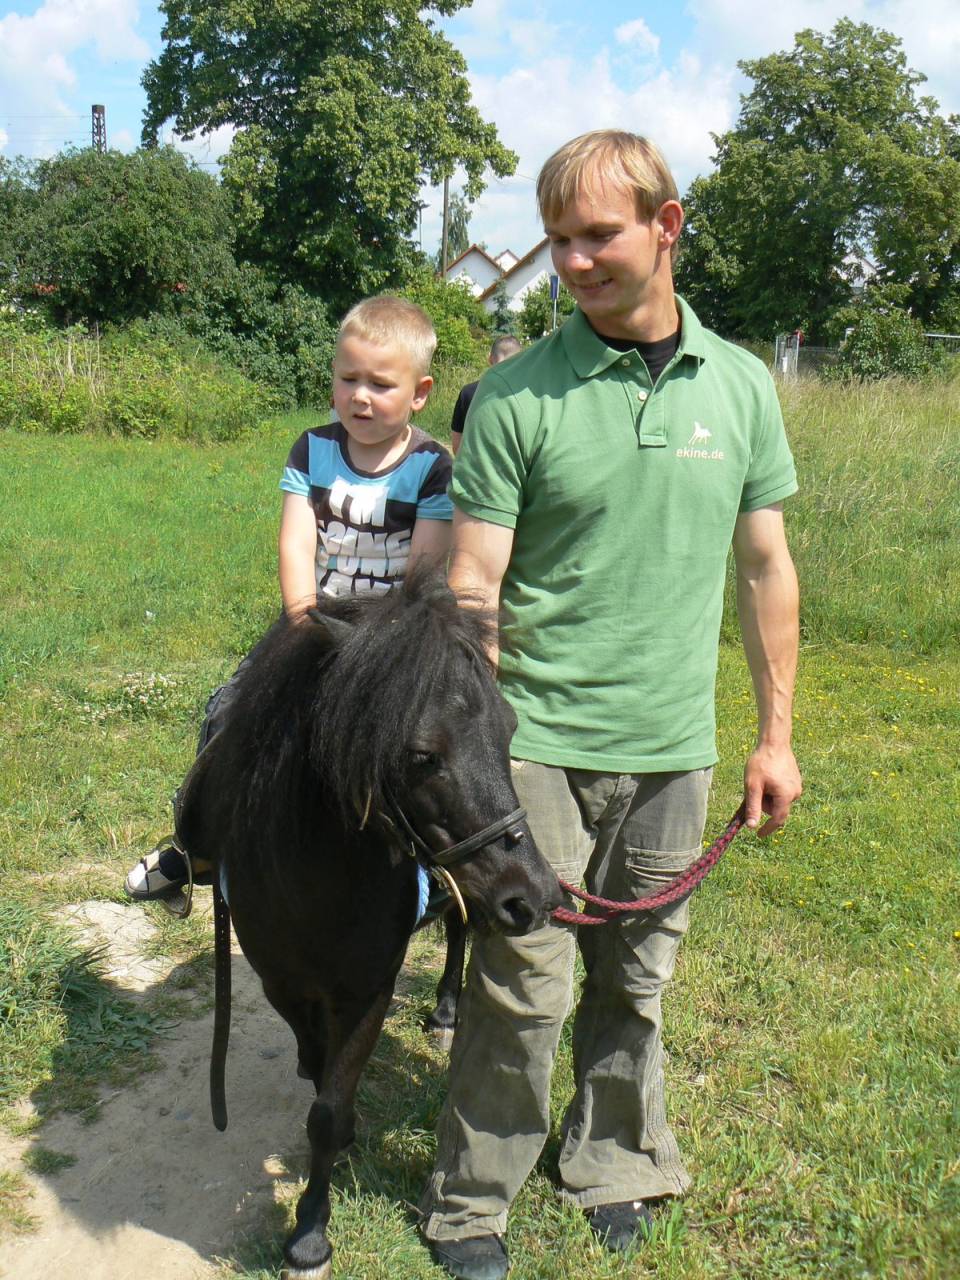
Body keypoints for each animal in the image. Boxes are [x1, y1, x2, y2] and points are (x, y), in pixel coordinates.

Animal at [176, 573, 560, 1280]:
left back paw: (446, 1012)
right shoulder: (280, 981)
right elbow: (314, 1059)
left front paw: (309, 1236)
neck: (315, 879)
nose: (535, 896)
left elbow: (327, 1112)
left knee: (461, 932)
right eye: (422, 755)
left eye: (510, 729)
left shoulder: (368, 989)